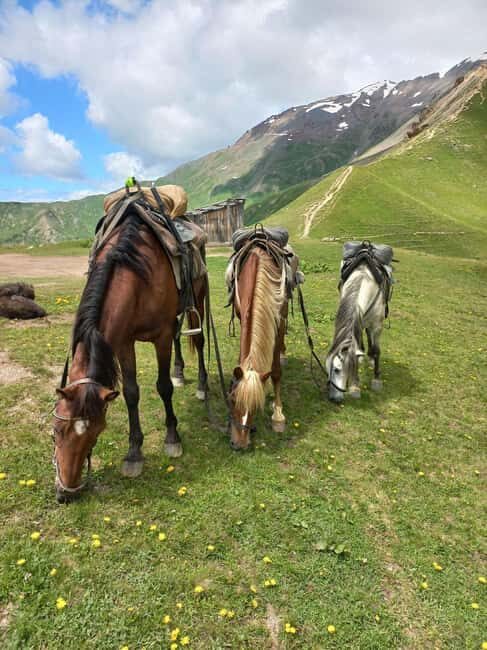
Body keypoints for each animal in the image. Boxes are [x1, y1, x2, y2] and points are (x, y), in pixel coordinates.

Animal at [52, 212, 208, 503]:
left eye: (96, 432)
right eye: (57, 429)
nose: (65, 493)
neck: (135, 275)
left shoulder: (160, 336)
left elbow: (163, 387)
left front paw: (172, 438)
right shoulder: (124, 342)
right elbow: (131, 393)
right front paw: (134, 453)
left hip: (199, 300)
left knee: (200, 341)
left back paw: (203, 386)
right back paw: (179, 372)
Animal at [227, 246, 288, 450]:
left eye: (255, 407)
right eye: (233, 400)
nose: (239, 444)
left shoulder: (279, 322)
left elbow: (276, 372)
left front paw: (278, 414)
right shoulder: (241, 315)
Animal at [326, 264, 387, 403]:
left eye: (337, 370)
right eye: (329, 368)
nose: (334, 398)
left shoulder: (377, 326)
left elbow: (377, 350)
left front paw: (376, 379)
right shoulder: (358, 321)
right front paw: (355, 386)